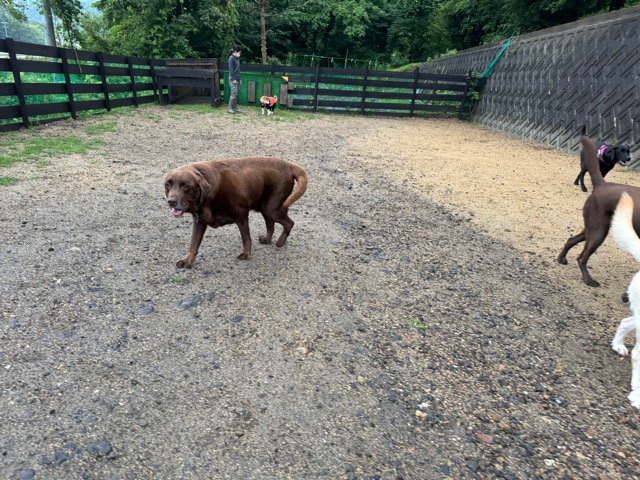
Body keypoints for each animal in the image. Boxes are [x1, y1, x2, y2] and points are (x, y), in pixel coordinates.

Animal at [164, 157, 307, 267]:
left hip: (272, 207)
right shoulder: (199, 222)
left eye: (185, 185)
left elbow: (246, 238)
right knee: (271, 224)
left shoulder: (241, 215)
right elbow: (193, 244)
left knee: (289, 223)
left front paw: (246, 254)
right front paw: (187, 260)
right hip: (264, 207)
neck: (209, 196)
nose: (171, 201)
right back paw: (267, 240)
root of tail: (289, 165)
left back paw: (280, 242)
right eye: (167, 185)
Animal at [558, 126, 640, 287]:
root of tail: (602, 184)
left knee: (572, 239)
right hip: (598, 231)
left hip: (592, 227)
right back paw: (588, 280)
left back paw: (561, 258)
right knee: (581, 258)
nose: (628, 158)